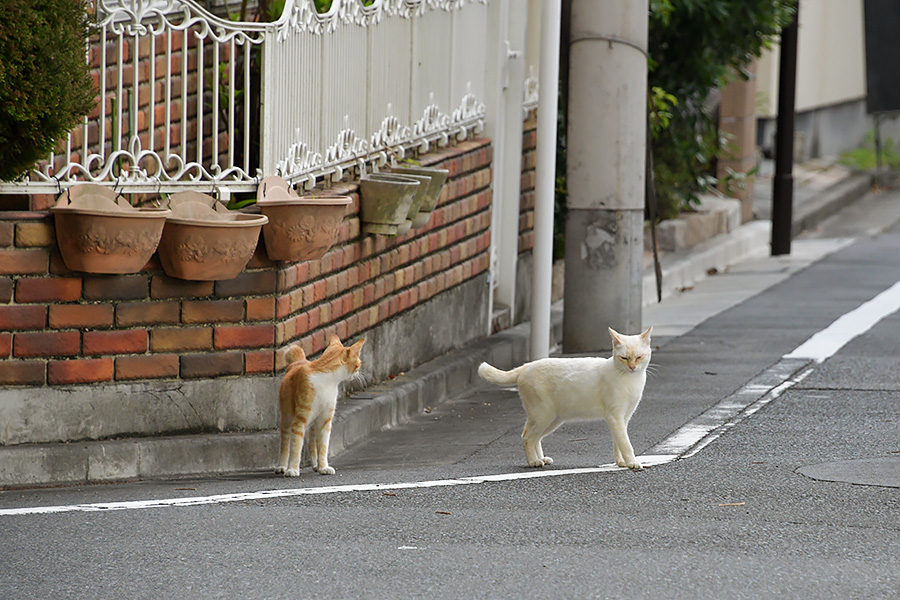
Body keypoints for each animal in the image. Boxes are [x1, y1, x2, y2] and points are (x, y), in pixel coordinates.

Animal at [278, 336, 370, 476]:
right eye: (359, 364)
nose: (359, 372)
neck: (328, 382)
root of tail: (299, 361)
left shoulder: (325, 419)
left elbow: (323, 447)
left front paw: (323, 467)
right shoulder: (300, 419)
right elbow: (296, 446)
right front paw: (293, 469)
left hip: (313, 422)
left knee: (311, 442)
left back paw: (316, 465)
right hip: (287, 418)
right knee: (285, 442)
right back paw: (282, 466)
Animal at [478, 328, 652, 468]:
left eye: (639, 357)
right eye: (624, 358)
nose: (632, 367)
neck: (630, 380)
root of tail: (526, 366)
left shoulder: (624, 417)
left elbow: (619, 441)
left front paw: (621, 462)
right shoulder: (614, 416)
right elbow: (625, 443)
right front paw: (632, 463)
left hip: (552, 419)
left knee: (534, 437)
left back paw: (541, 458)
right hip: (543, 415)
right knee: (527, 437)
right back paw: (533, 462)